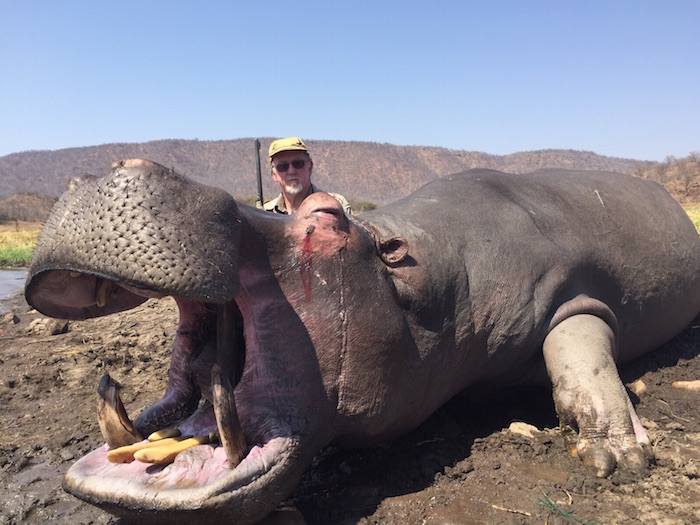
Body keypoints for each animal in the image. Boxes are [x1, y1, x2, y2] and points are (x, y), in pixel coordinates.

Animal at [24, 159, 700, 524]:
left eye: (327, 216)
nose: (123, 167)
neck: (422, 273)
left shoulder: (568, 294)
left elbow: (582, 354)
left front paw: (617, 458)